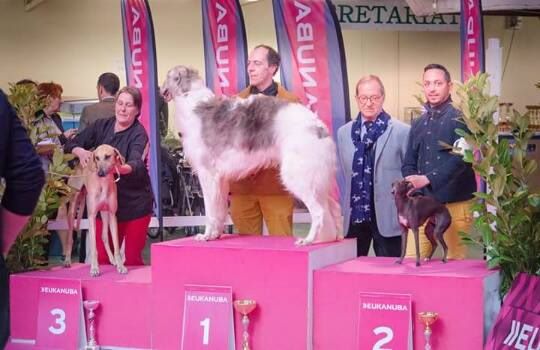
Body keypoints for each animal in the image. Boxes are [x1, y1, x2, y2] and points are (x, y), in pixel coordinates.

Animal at [61, 144, 128, 276]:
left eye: (107, 156)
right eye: (96, 158)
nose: (100, 173)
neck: (103, 183)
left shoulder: (112, 214)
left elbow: (116, 246)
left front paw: (120, 266)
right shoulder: (91, 216)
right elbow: (93, 248)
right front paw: (94, 268)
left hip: (104, 213)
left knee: (104, 236)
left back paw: (112, 260)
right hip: (73, 207)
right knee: (70, 237)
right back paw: (67, 261)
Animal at [160, 66, 344, 246]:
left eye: (168, 76)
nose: (160, 90)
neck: (191, 99)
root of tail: (319, 126)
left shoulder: (208, 175)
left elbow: (210, 211)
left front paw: (206, 236)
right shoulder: (221, 180)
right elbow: (220, 211)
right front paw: (215, 235)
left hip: (298, 176)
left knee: (319, 211)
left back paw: (308, 240)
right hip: (318, 180)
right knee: (334, 208)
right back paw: (333, 238)